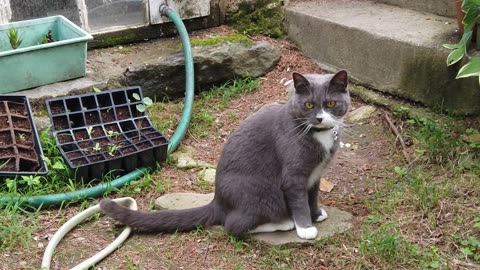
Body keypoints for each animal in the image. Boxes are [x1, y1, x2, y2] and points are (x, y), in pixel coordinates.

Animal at [100, 70, 348, 240]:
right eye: (309, 105)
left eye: (330, 103)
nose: (319, 118)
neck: (319, 134)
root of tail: (218, 200)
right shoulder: (294, 176)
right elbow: (299, 201)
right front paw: (305, 228)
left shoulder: (314, 175)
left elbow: (312, 196)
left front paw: (316, 214)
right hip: (263, 192)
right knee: (233, 224)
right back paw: (283, 223)